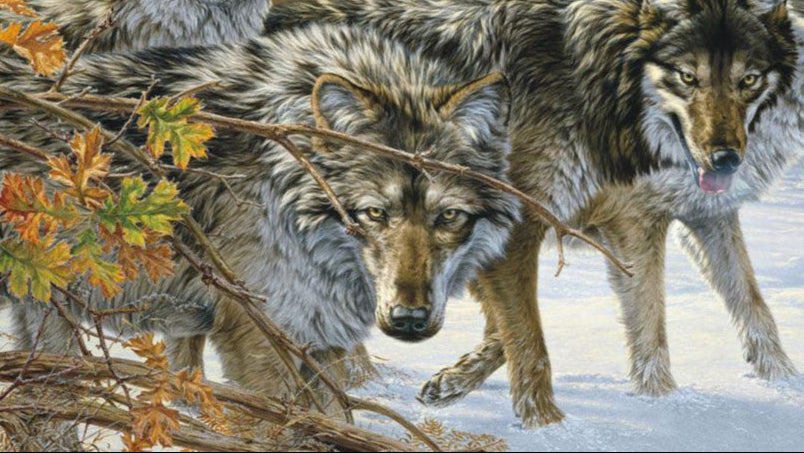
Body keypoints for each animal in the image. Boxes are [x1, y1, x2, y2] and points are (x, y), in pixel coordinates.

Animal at [266, 0, 802, 426]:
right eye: (688, 78)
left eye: (749, 79)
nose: (725, 159)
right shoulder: (583, 224)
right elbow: (554, 337)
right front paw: (552, 425)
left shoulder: (701, 216)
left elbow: (753, 308)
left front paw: (782, 384)